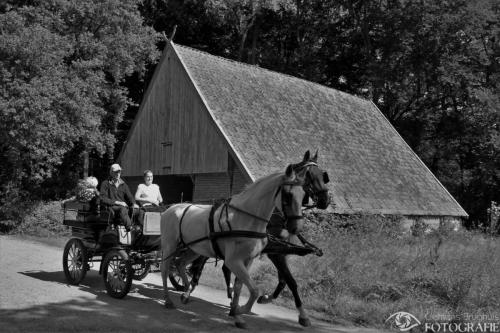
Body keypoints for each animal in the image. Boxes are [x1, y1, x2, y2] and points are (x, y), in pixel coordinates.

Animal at [186, 151, 330, 326]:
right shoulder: (274, 253)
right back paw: (191, 287)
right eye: (309, 175)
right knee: (202, 262)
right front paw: (302, 315)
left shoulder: (281, 252)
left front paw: (265, 298)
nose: (325, 200)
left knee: (225, 268)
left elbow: (284, 280)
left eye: (323, 175)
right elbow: (290, 281)